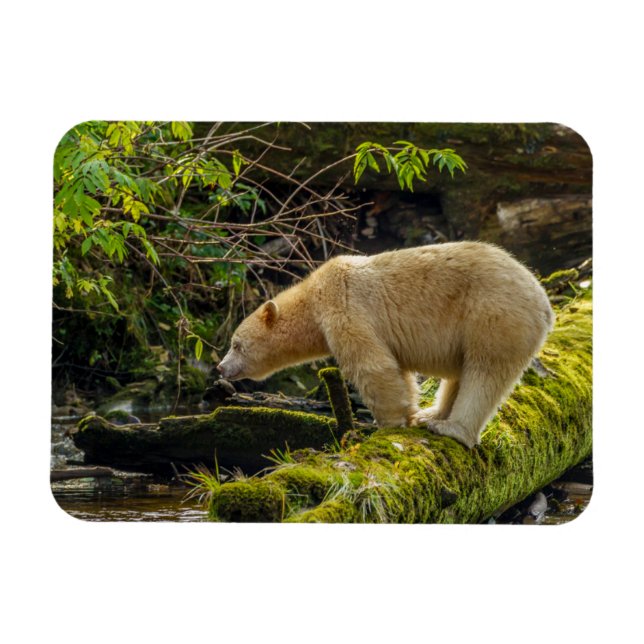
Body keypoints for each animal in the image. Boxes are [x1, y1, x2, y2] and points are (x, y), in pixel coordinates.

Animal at [216, 241, 554, 448]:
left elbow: (372, 365)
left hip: (494, 315)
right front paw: (409, 414)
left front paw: (388, 425)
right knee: (462, 373)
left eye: (236, 344)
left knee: (485, 372)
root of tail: (544, 303)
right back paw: (432, 415)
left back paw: (452, 428)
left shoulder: (344, 306)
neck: (312, 298)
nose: (220, 367)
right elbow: (398, 370)